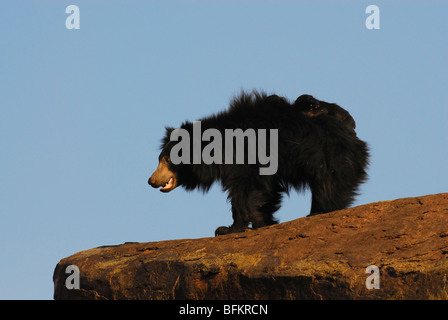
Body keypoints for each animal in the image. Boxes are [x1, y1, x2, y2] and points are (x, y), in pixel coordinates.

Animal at [149, 91, 370, 236]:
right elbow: (265, 191)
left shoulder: (244, 155)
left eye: (167, 159)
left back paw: (320, 211)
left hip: (328, 156)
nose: (150, 181)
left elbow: (244, 189)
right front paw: (263, 222)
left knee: (328, 184)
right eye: (160, 159)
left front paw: (227, 229)